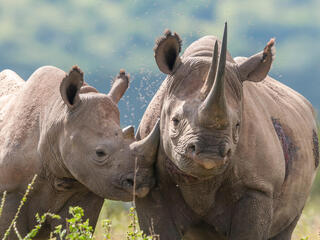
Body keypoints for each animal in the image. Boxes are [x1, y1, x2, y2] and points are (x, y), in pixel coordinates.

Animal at [135, 23, 318, 240]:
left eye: (238, 125)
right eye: (175, 121)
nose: (210, 153)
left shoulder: (258, 186)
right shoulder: (150, 186)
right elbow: (158, 230)